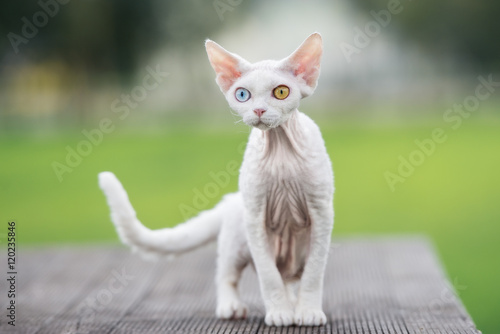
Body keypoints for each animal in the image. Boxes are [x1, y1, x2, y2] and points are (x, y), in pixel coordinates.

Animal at [98, 33, 334, 326]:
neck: (281, 152)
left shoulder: (322, 212)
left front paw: (308, 311)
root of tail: (231, 201)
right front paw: (279, 312)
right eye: (242, 95)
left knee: (290, 277)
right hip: (237, 242)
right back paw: (232, 306)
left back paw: (292, 305)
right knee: (226, 275)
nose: (258, 110)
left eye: (281, 92)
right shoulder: (255, 216)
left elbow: (314, 272)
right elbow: (268, 276)